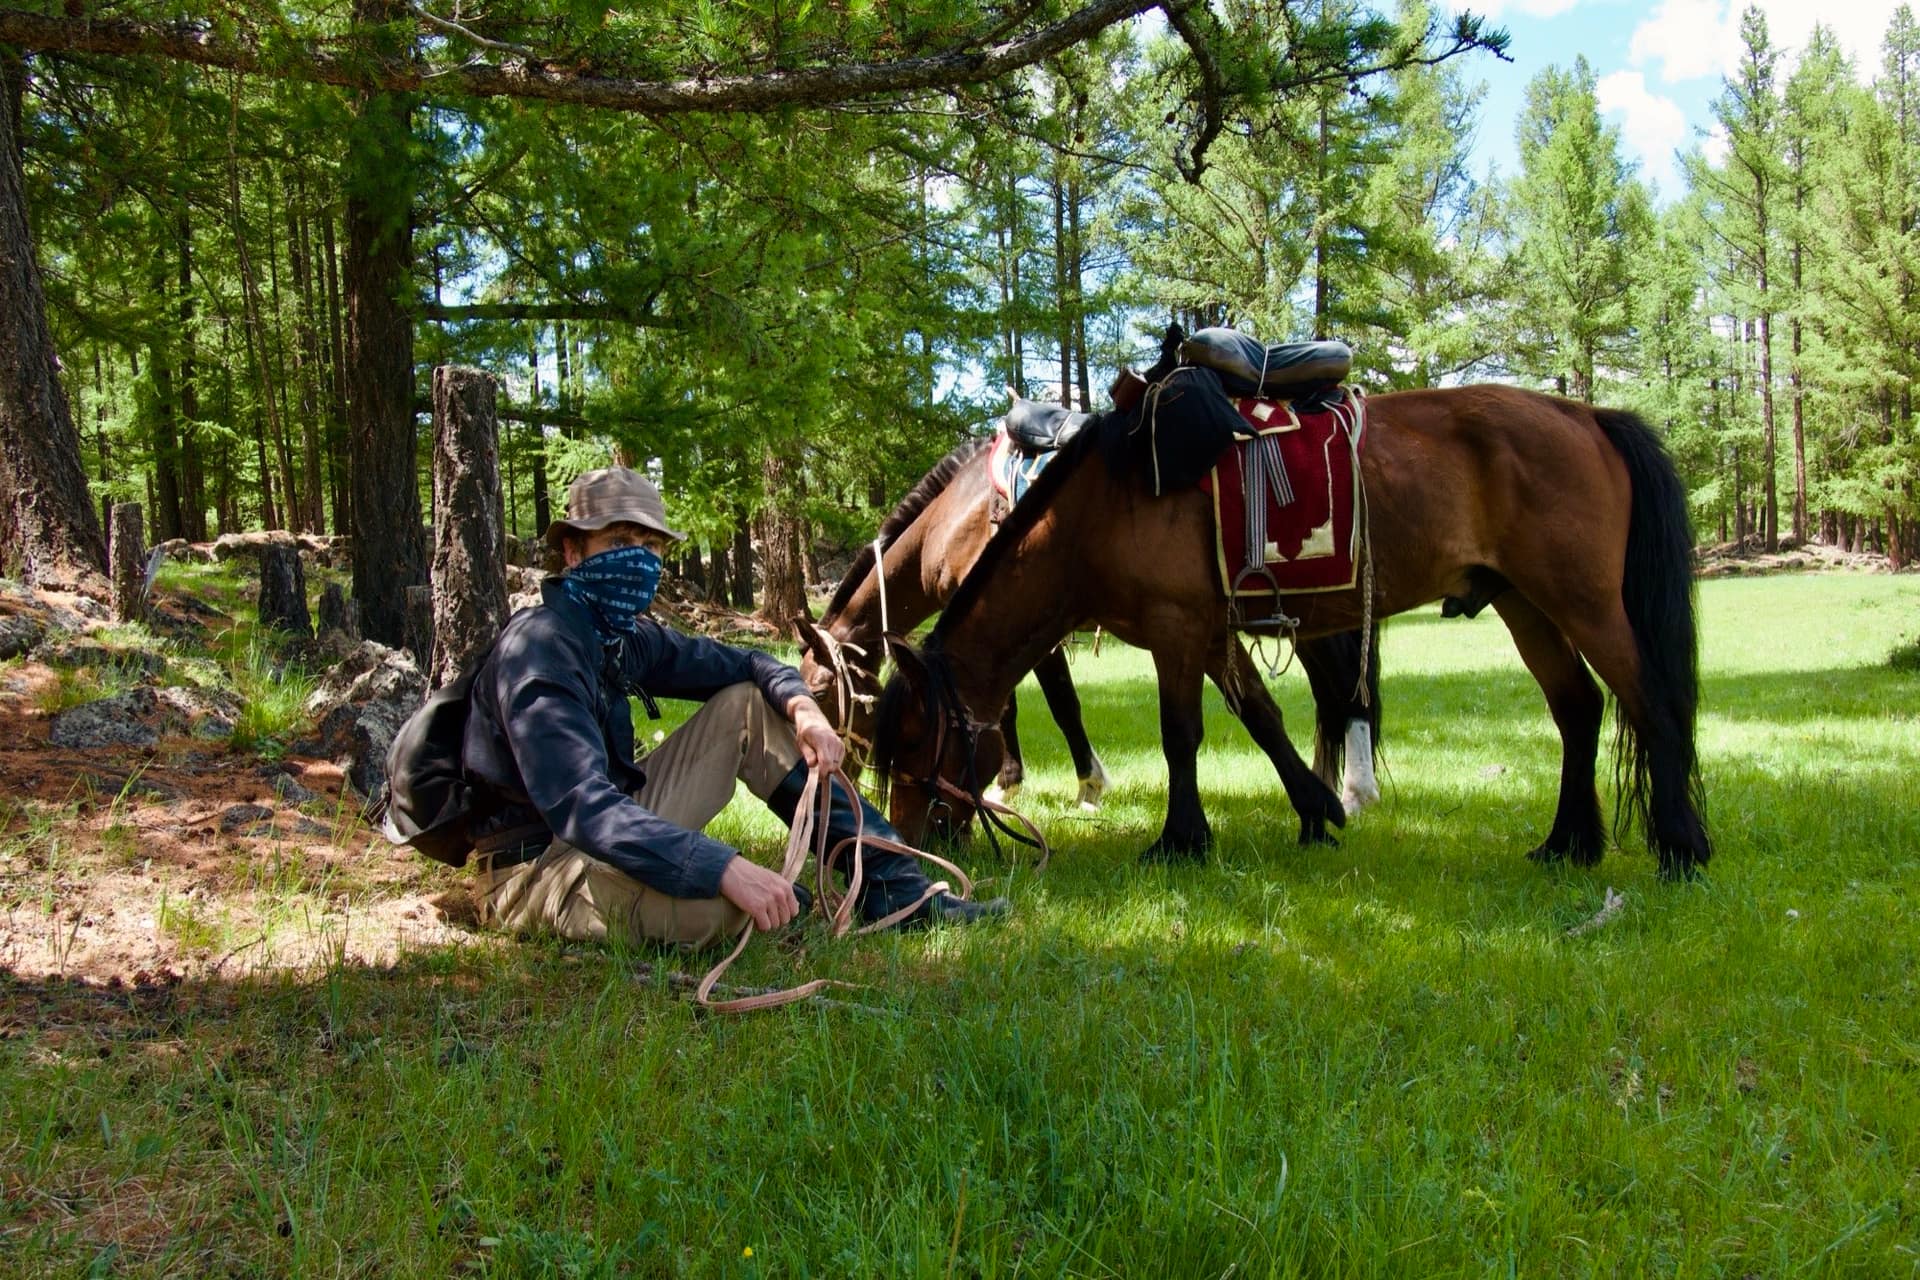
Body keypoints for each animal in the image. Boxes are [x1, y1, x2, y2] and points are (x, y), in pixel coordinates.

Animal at [793, 432, 1384, 831]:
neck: (955, 517)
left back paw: (1358, 788)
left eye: (821, 691)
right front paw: (1019, 780)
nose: (826, 773)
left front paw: (1077, 784)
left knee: (1348, 685)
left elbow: (1051, 703)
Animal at [870, 330, 1711, 878]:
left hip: (1584, 601)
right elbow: (1264, 719)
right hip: (1527, 605)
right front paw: (1317, 812)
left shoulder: (1177, 630)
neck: (1101, 501)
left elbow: (1181, 736)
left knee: (1650, 703)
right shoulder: (1210, 632)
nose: (913, 842)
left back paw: (1681, 848)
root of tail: (1587, 416)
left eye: (915, 743)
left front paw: (1181, 840)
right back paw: (1569, 843)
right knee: (1579, 710)